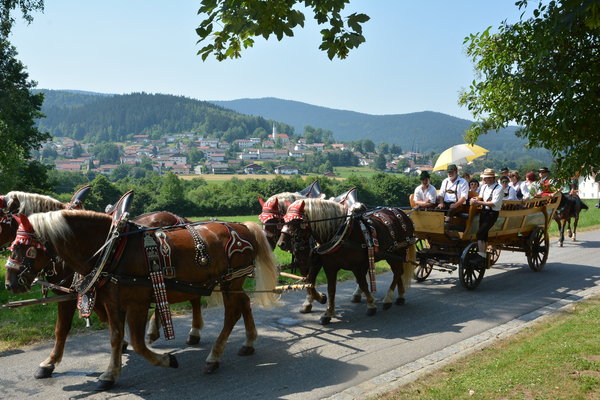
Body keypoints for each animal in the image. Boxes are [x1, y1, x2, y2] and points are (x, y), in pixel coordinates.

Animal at [0, 191, 204, 378]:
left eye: (22, 246)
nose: (10, 284)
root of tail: (179, 217)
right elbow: (106, 321)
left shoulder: (70, 296)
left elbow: (61, 329)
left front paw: (49, 363)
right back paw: (155, 330)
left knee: (194, 297)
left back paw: (193, 332)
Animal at [5, 209, 276, 390]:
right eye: (12, 245)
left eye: (25, 247)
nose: (10, 283)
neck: (112, 249)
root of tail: (242, 227)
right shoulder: (111, 303)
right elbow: (114, 337)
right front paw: (110, 374)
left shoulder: (135, 303)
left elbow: (136, 342)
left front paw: (166, 360)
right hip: (233, 283)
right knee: (243, 304)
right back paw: (248, 342)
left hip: (232, 281)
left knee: (231, 314)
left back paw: (214, 356)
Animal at [278, 198, 414, 324]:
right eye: (284, 219)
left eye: (296, 220)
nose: (281, 243)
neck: (341, 234)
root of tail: (400, 211)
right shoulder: (326, 266)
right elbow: (326, 287)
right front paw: (327, 311)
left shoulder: (356, 266)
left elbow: (363, 283)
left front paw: (371, 305)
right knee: (398, 272)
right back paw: (399, 296)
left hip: (397, 252)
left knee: (397, 272)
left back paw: (388, 299)